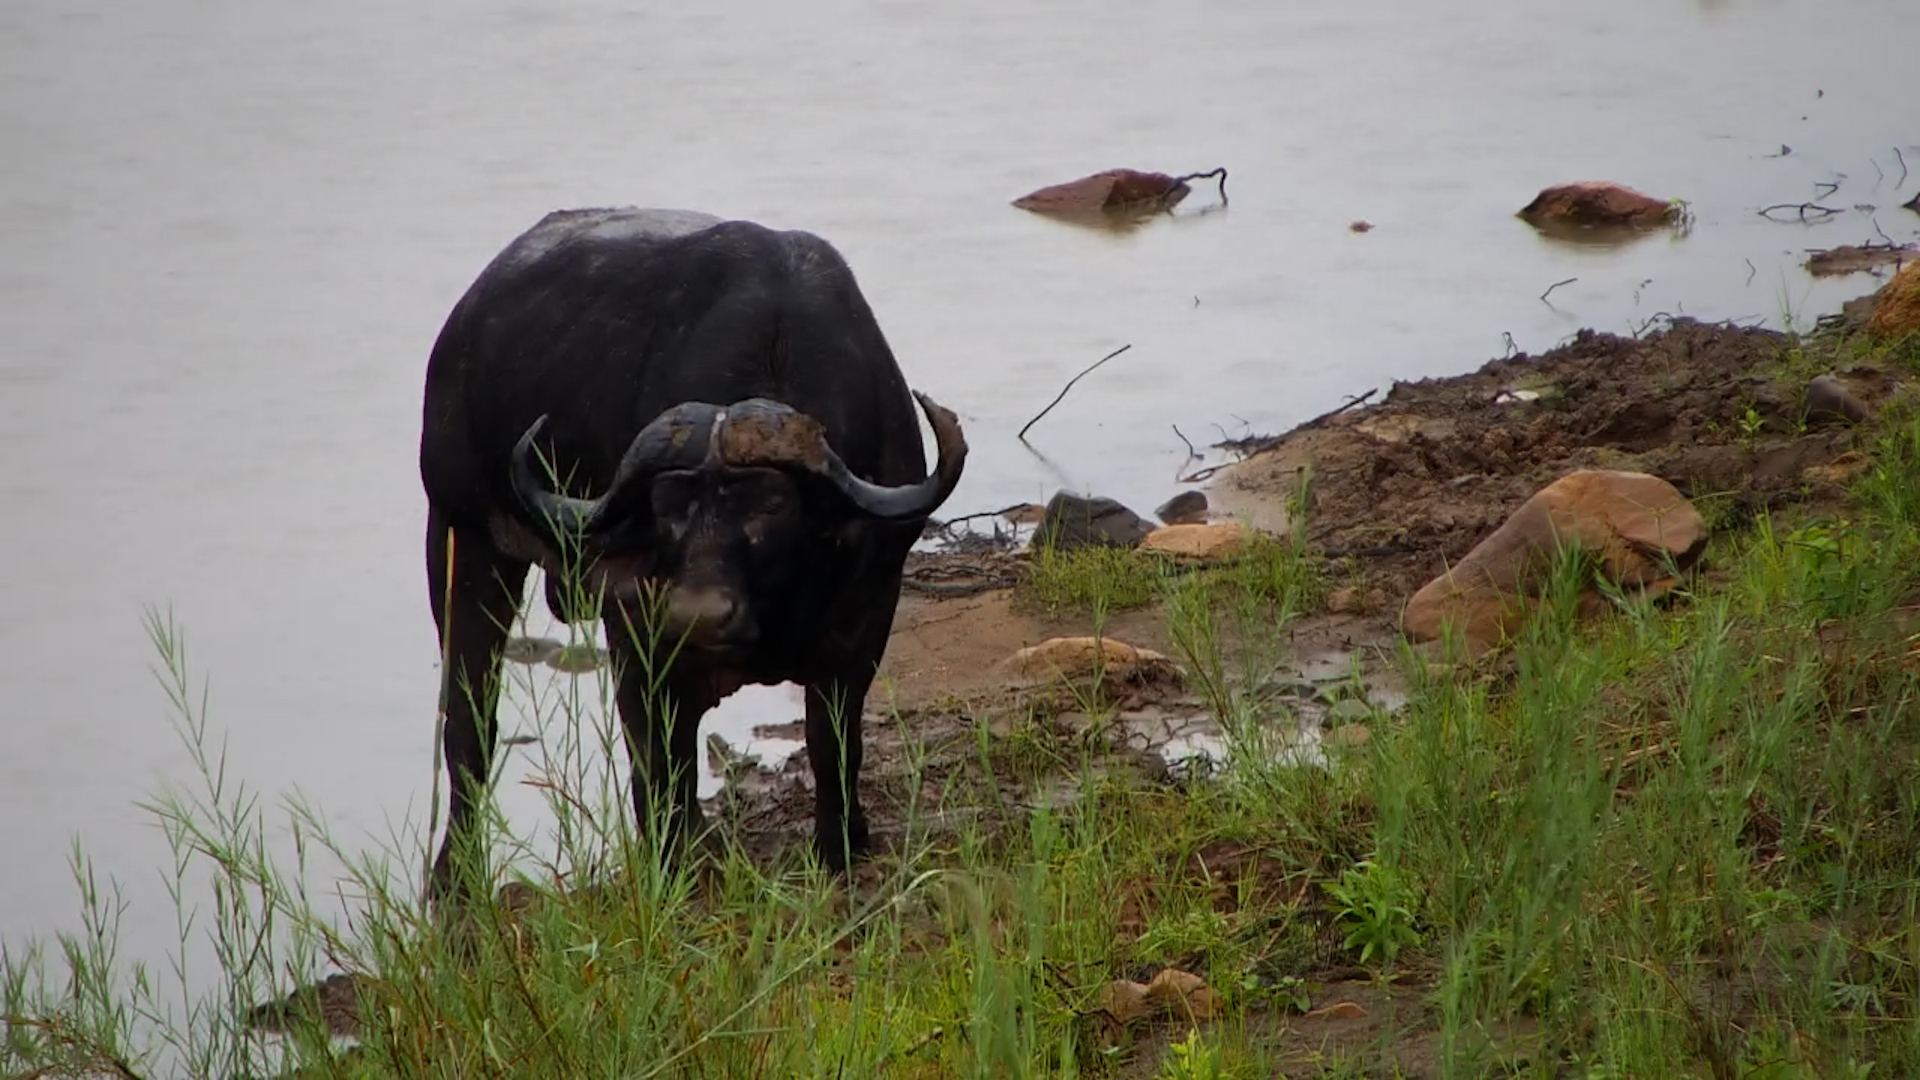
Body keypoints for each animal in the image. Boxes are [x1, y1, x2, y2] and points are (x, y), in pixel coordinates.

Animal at [417, 207, 967, 902]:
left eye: (772, 505)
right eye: (667, 506)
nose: (696, 615)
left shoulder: (867, 615)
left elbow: (832, 739)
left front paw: (841, 842)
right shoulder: (635, 632)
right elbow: (659, 756)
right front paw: (674, 858)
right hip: (461, 539)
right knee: (469, 722)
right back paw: (453, 881)